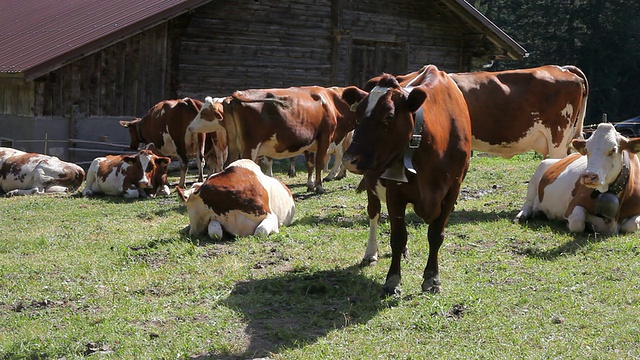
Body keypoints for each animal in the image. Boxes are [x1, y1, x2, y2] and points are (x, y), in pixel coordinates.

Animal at [186, 86, 364, 194]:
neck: (331, 103)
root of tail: (235, 97)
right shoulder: (325, 138)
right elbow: (319, 163)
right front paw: (319, 187)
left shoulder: (309, 143)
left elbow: (310, 165)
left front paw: (310, 184)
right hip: (249, 147)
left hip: (234, 146)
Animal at [342, 65, 472, 296]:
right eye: (357, 115)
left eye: (389, 115)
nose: (350, 160)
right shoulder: (395, 191)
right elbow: (397, 236)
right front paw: (392, 281)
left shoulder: (453, 189)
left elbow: (436, 234)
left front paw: (432, 278)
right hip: (372, 184)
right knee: (374, 213)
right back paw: (371, 253)